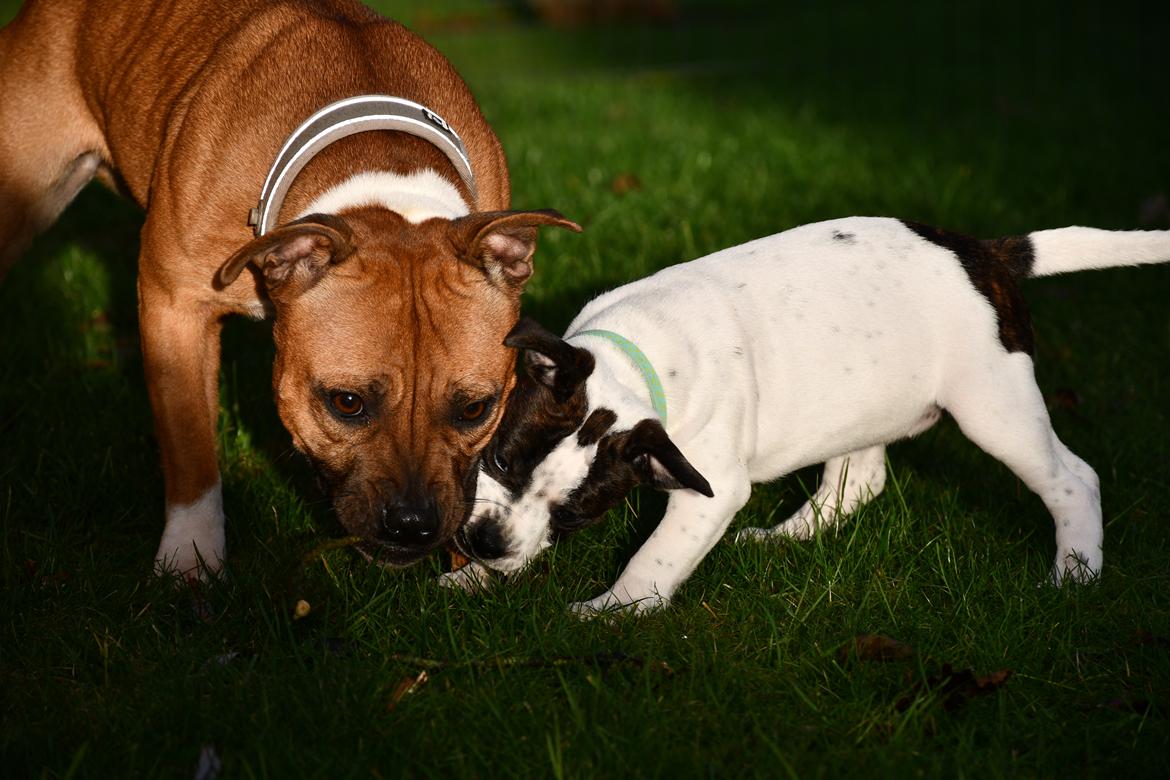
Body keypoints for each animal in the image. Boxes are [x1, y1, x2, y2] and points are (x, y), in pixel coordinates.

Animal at [0, 0, 580, 573]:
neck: (378, 169)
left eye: (476, 410)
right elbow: (191, 446)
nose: (412, 523)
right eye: (347, 403)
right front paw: (190, 558)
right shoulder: (175, 307)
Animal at [449, 216, 1170, 612]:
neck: (636, 362)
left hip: (994, 407)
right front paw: (474, 579)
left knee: (1073, 479)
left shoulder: (711, 489)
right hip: (863, 404)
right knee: (860, 481)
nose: (487, 545)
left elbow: (653, 560)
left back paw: (1074, 576)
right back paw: (784, 538)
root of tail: (985, 254)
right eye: (500, 458)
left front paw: (610, 613)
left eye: (575, 515)